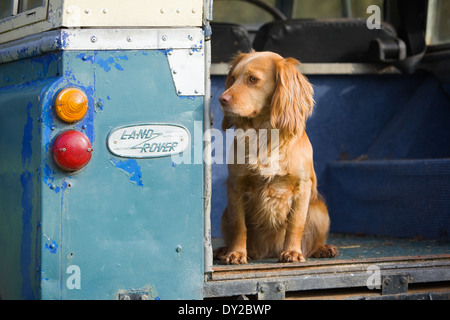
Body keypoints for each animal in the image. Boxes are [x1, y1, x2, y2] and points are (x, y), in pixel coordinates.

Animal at [214, 51, 338, 264]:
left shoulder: (302, 187)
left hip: (320, 209)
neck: (264, 135)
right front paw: (236, 253)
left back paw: (322, 248)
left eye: (252, 79)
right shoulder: (236, 186)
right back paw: (224, 250)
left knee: (311, 242)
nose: (222, 99)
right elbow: (239, 226)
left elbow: (295, 224)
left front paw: (292, 252)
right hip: (225, 214)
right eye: (233, 78)